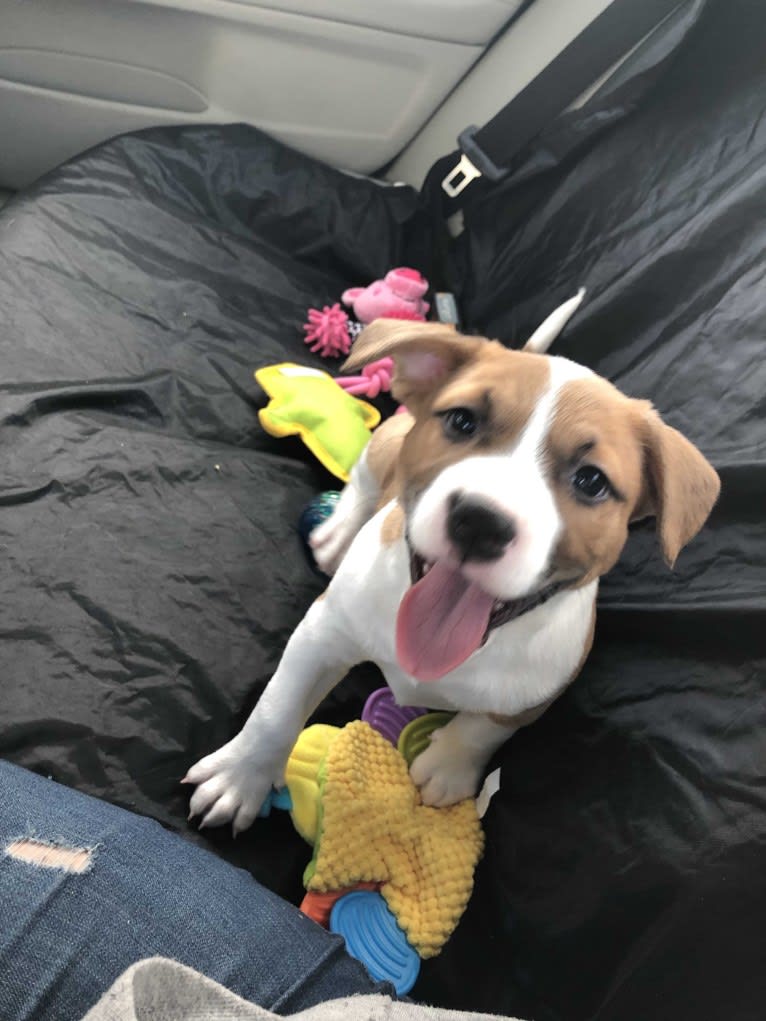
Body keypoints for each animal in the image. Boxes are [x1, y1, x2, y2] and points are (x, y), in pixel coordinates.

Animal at [184, 296, 719, 829]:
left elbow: (489, 725)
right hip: (388, 441)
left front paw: (448, 764)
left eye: (591, 481)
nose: (481, 522)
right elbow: (277, 708)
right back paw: (338, 532)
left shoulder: (542, 687)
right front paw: (240, 776)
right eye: (462, 421)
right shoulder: (321, 633)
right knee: (365, 475)